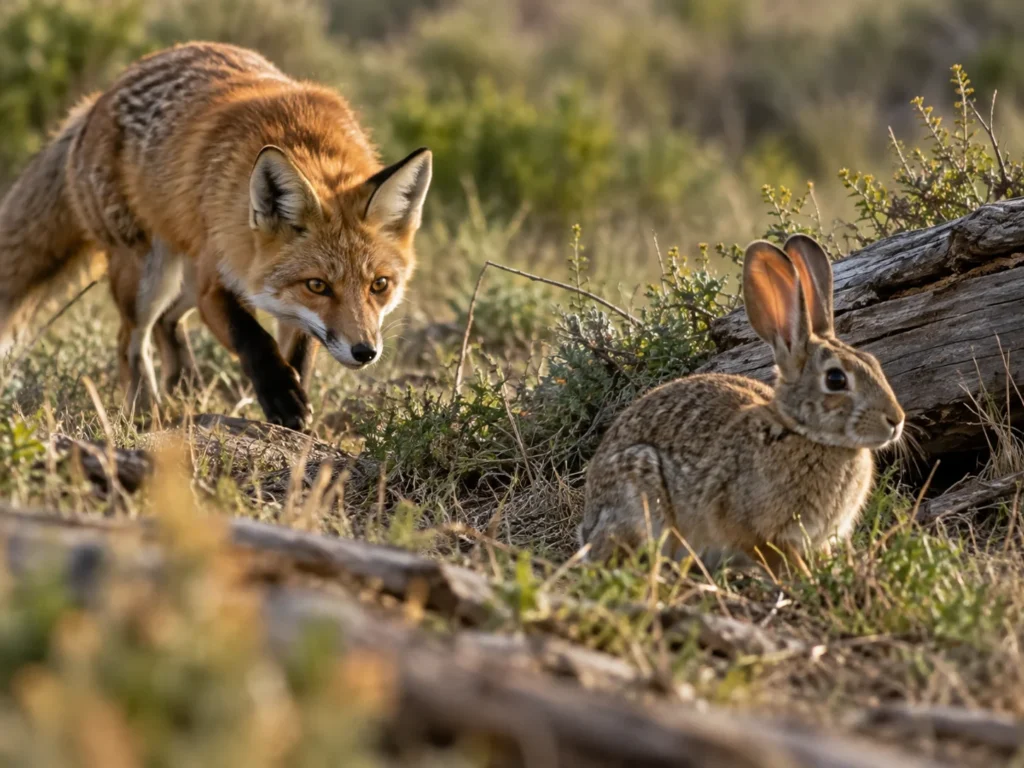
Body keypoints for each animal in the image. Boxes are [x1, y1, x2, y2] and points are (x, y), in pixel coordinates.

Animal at [0, 42, 432, 429]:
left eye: (380, 285)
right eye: (318, 285)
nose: (365, 352)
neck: (303, 142)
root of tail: (96, 100)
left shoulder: (290, 309)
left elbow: (301, 355)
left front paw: (297, 412)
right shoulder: (216, 284)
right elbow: (254, 340)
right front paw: (282, 397)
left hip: (183, 274)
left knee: (166, 322)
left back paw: (183, 385)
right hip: (148, 274)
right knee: (130, 341)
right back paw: (145, 411)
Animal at [579, 234, 905, 575]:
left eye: (873, 363)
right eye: (836, 379)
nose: (896, 420)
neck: (805, 433)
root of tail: (588, 528)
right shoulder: (757, 530)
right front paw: (806, 579)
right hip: (643, 496)